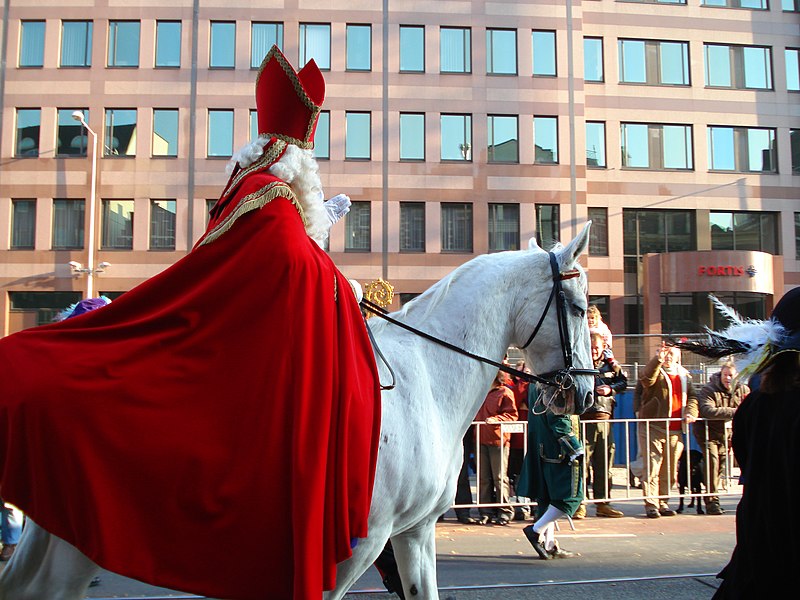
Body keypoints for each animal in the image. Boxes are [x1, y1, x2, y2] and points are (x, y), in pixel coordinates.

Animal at [0, 223, 592, 596]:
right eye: (580, 307)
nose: (585, 393)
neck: (425, 377)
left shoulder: (413, 533)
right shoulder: (357, 544)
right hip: (77, 544)